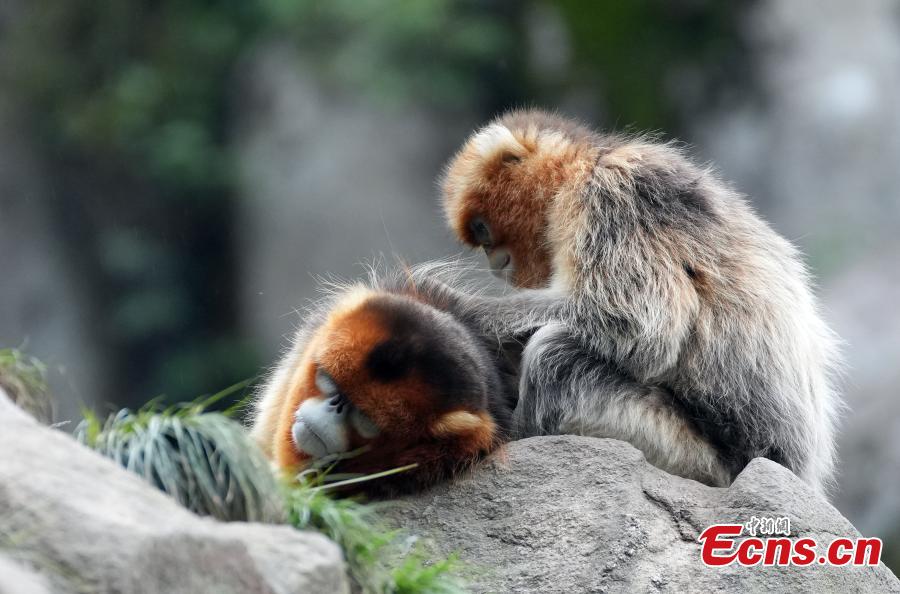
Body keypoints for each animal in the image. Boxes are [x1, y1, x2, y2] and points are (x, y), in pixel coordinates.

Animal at [250, 110, 840, 494]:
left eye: (484, 231)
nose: (496, 263)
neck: (594, 160)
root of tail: (796, 470)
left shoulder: (614, 194)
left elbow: (636, 327)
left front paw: (458, 307)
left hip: (700, 458)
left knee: (558, 353)